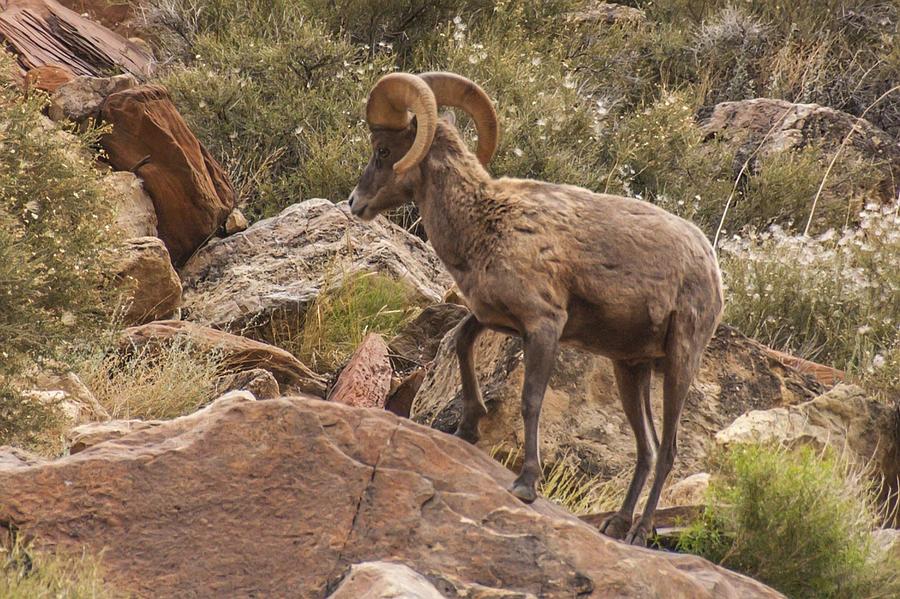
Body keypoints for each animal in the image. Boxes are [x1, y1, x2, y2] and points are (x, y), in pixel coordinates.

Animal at [346, 71, 724, 548]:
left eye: (382, 150)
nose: (354, 203)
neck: (484, 221)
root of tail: (711, 265)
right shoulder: (498, 320)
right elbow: (461, 342)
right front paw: (468, 428)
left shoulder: (544, 327)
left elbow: (531, 401)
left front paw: (526, 484)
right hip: (629, 368)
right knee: (647, 449)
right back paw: (617, 525)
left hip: (679, 362)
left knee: (669, 449)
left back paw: (638, 532)